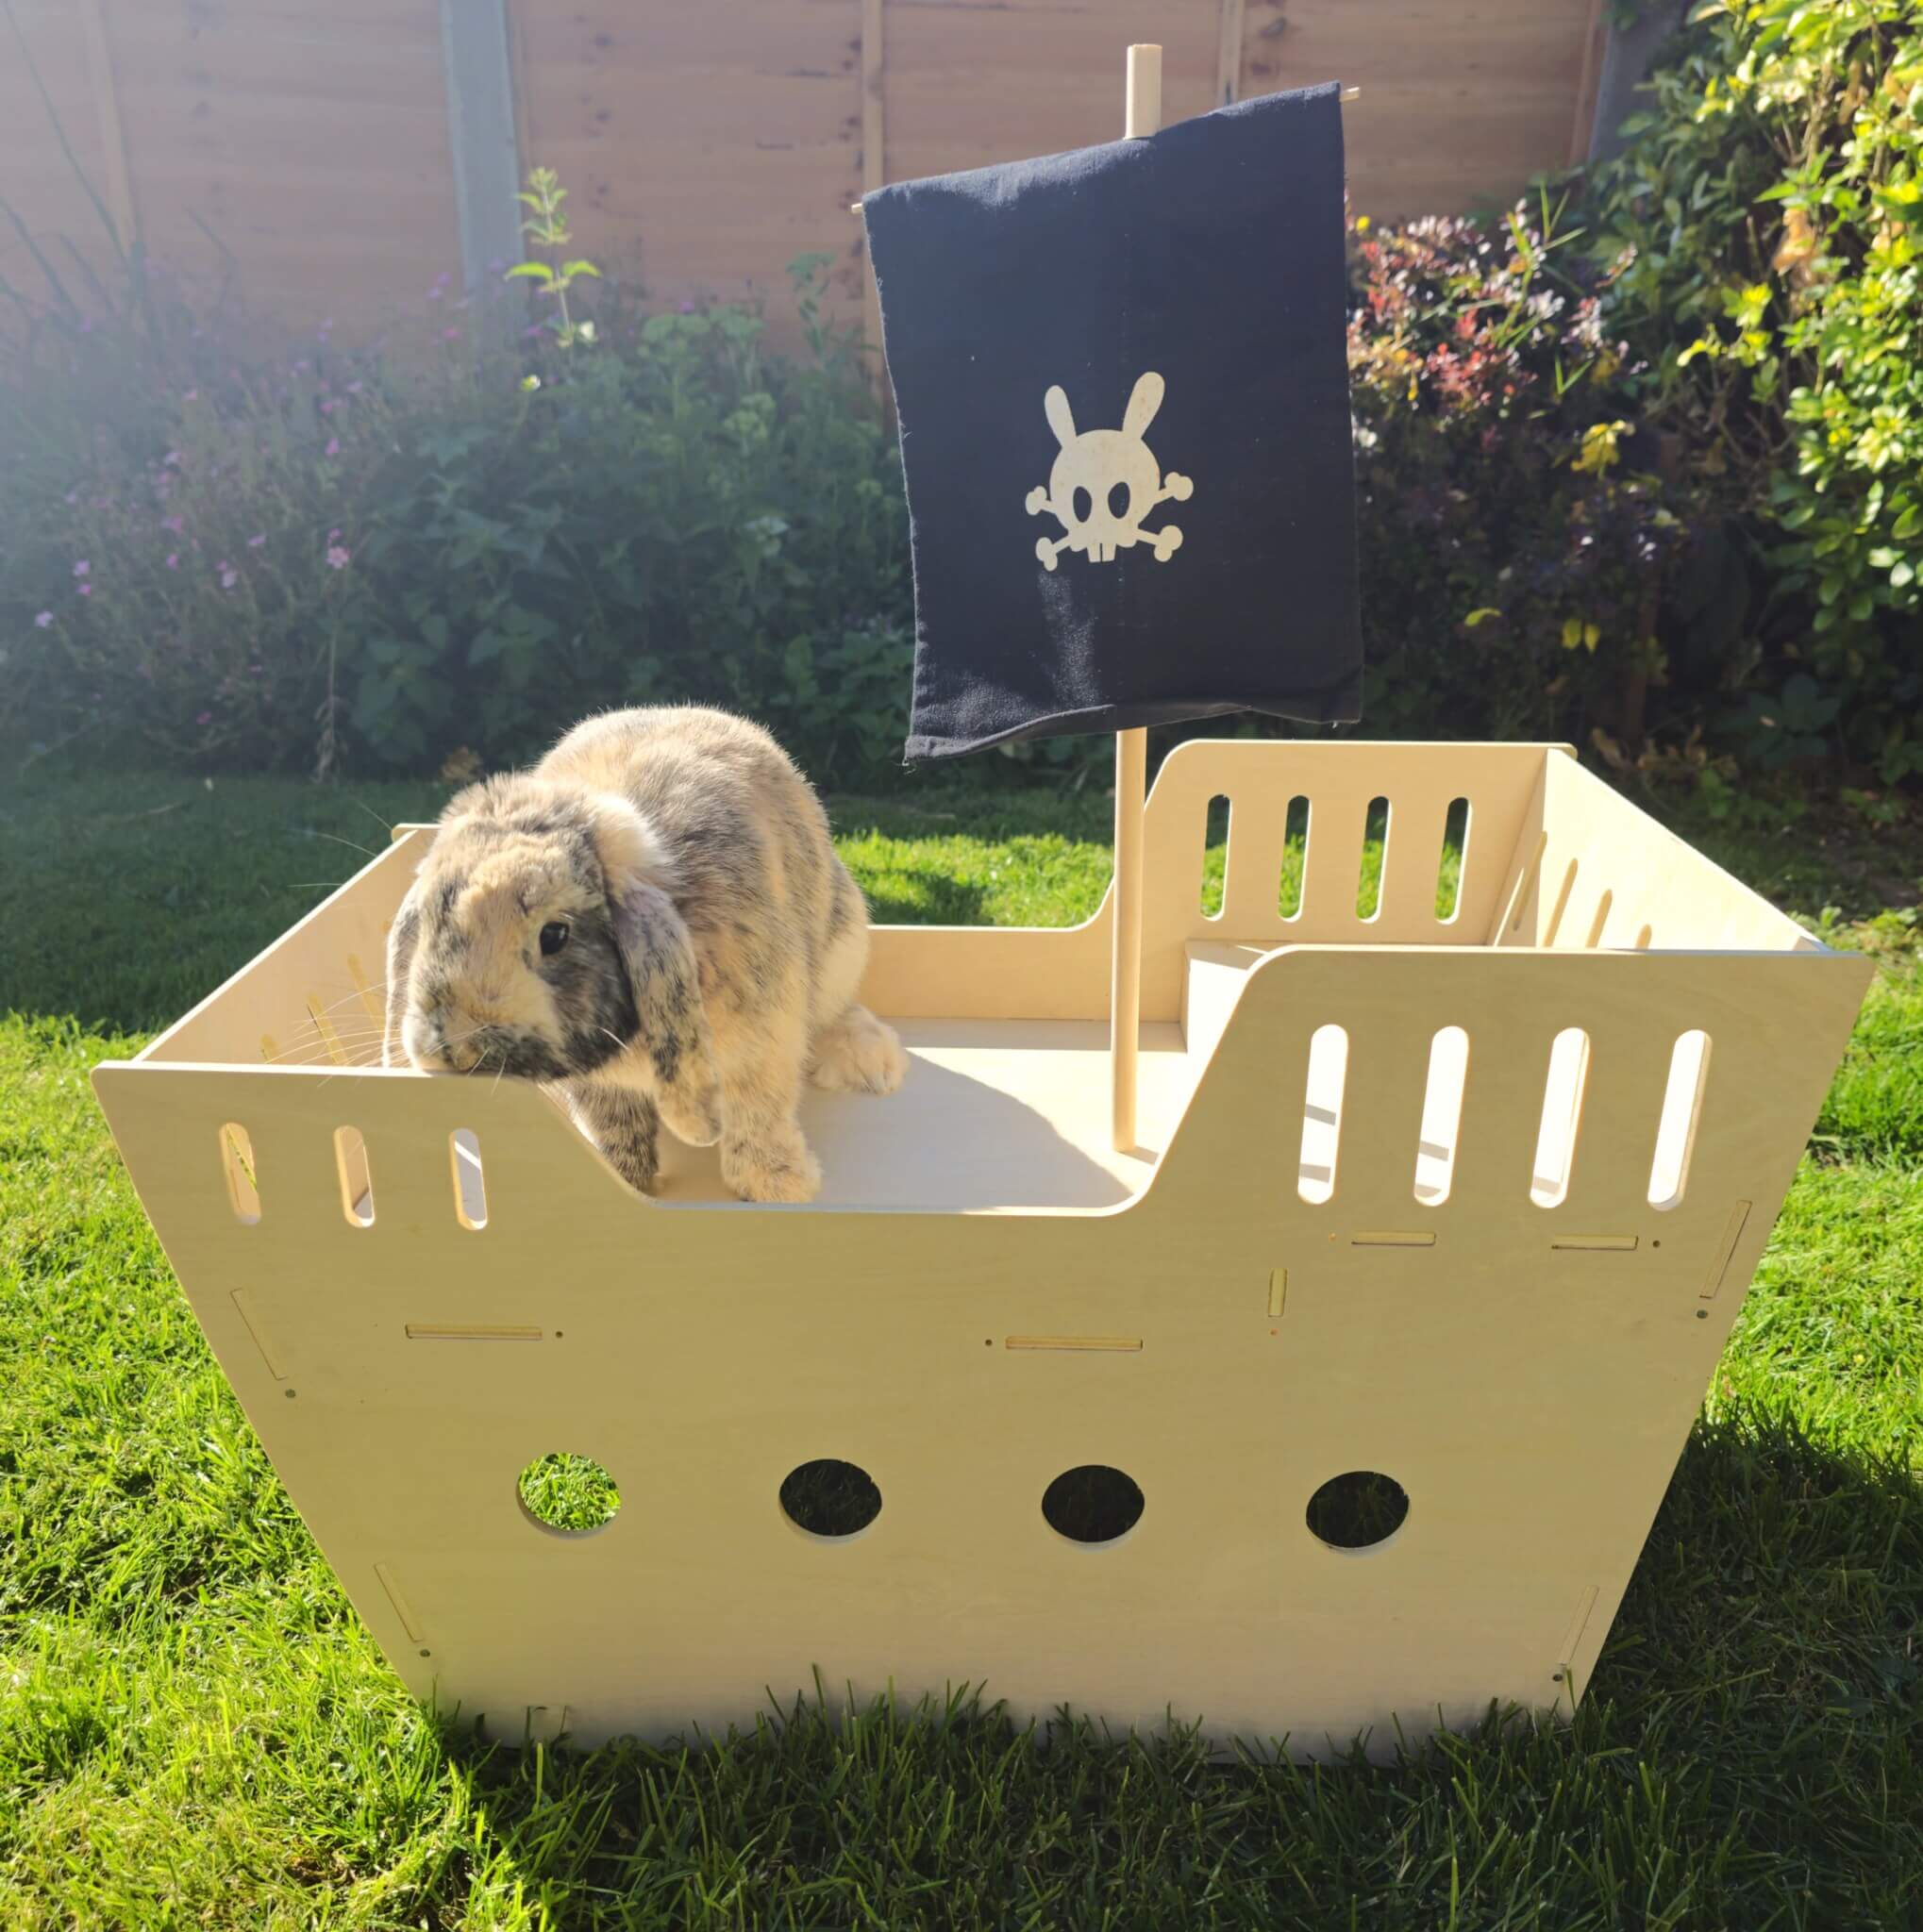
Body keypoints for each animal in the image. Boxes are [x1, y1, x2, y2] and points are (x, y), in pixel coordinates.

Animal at [384, 705, 906, 1203]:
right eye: (430, 919)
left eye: (554, 935)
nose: (451, 1048)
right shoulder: (600, 1087)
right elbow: (616, 1130)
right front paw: (626, 1180)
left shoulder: (764, 1045)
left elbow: (758, 1115)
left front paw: (779, 1187)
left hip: (843, 949)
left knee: (836, 1014)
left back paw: (872, 1064)